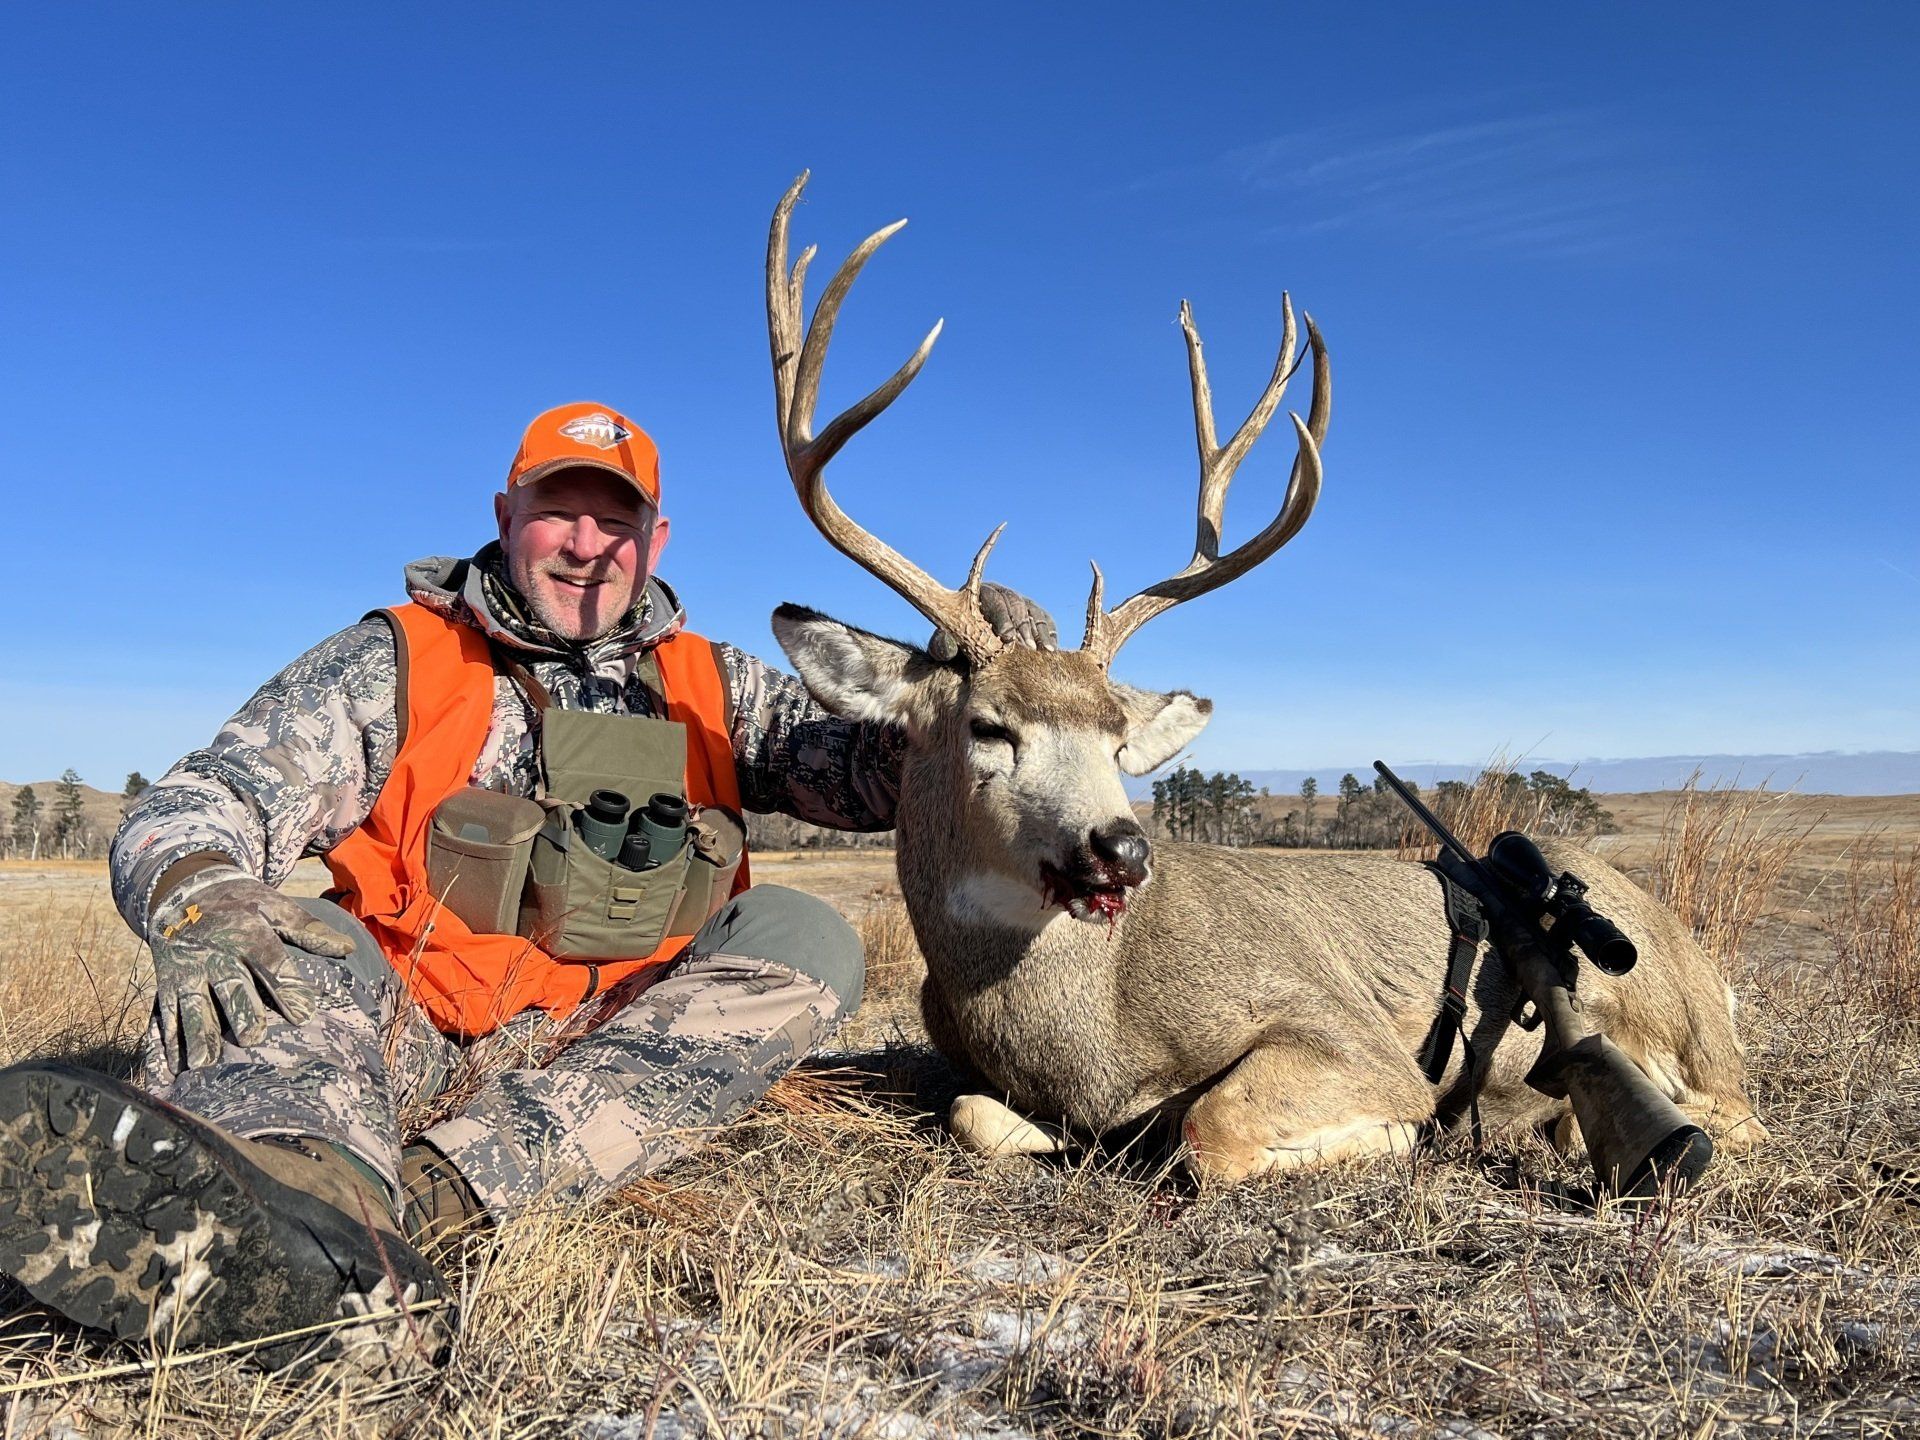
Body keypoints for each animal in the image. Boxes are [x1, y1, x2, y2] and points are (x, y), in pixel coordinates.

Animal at [761, 173, 1767, 1185]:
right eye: (989, 726)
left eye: (1117, 740)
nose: (1122, 847)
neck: (1088, 1033)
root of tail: (1702, 961)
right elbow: (976, 1112)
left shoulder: (1348, 1034)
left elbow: (1210, 1127)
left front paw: (1395, 1133)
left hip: (1679, 1021)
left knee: (1737, 1112)